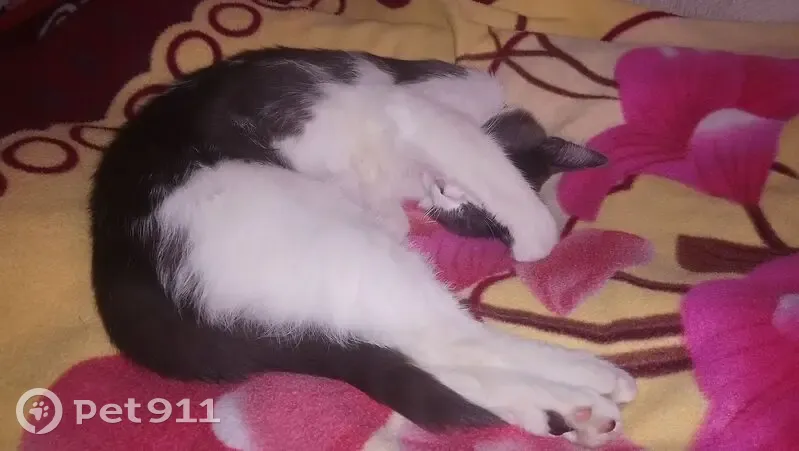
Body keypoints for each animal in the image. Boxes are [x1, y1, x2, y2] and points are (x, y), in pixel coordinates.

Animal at [89, 47, 636, 448]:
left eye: (470, 217)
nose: (445, 193)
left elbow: (390, 213)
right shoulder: (421, 113)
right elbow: (498, 176)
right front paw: (532, 237)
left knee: (413, 344)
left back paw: (568, 412)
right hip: (314, 225)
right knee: (449, 337)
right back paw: (592, 385)